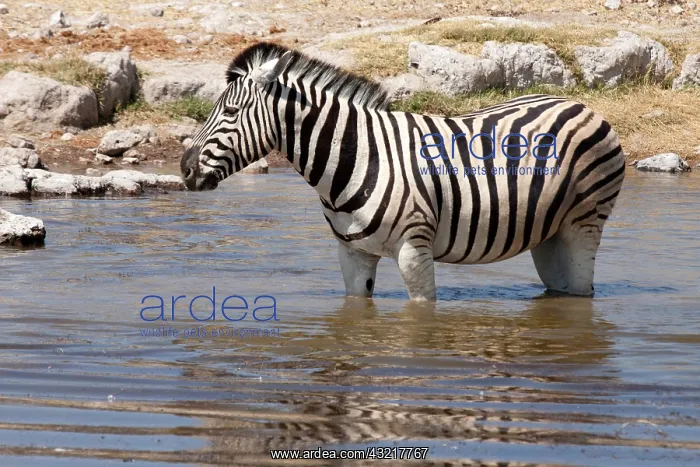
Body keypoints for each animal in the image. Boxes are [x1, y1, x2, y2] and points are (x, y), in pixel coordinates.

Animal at [181, 42, 625, 301]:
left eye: (231, 112)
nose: (184, 168)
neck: (358, 157)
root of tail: (581, 104)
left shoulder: (415, 249)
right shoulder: (353, 254)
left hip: (584, 223)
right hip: (549, 233)